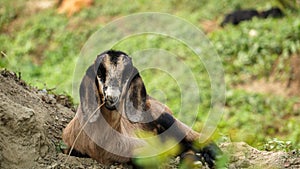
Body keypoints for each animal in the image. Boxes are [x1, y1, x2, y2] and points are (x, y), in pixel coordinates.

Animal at [61, 49, 220, 168]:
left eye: (127, 75)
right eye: (99, 73)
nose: (112, 97)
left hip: (167, 119)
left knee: (198, 138)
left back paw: (213, 157)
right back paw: (196, 160)